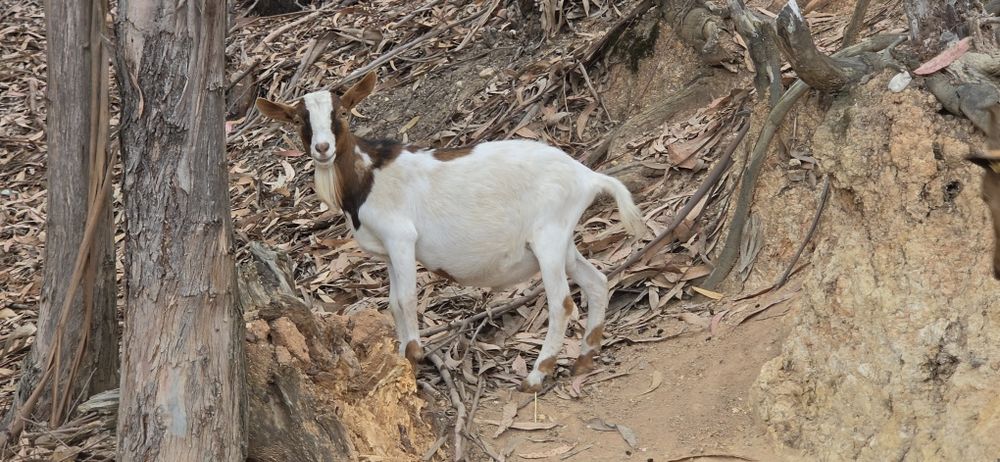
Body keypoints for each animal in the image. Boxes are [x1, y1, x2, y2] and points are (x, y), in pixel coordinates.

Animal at [255, 72, 645, 391]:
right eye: (299, 120)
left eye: (342, 114)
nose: (322, 149)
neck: (369, 175)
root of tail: (587, 175)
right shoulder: (388, 252)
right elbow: (393, 304)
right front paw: (403, 357)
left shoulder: (401, 238)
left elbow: (405, 299)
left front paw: (413, 356)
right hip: (562, 239)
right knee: (596, 282)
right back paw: (584, 359)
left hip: (549, 237)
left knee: (561, 303)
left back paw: (537, 374)